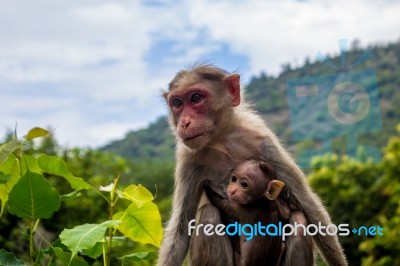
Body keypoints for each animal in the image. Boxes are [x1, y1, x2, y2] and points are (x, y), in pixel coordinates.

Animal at [157, 64, 346, 266]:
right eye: (177, 103)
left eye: (195, 98)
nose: (185, 122)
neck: (221, 140)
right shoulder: (188, 159)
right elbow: (181, 230)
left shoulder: (263, 141)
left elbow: (307, 206)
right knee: (209, 215)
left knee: (299, 220)